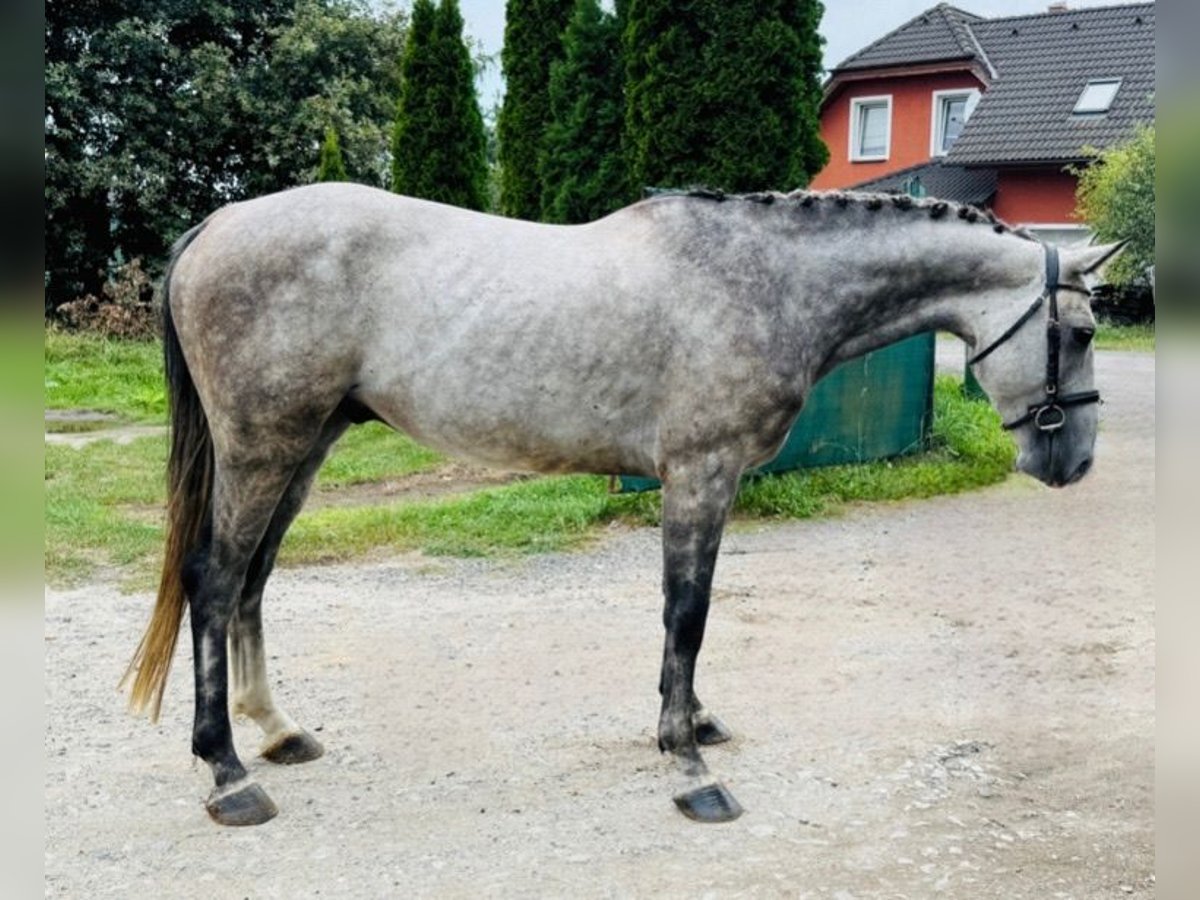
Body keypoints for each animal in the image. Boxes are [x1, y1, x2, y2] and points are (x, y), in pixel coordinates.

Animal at [121, 187, 1123, 830]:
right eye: (1077, 332)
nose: (1073, 461)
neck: (761, 281)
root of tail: (219, 222)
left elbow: (689, 619)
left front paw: (693, 725)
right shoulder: (699, 473)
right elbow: (688, 613)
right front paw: (689, 766)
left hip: (305, 446)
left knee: (253, 580)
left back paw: (277, 730)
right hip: (264, 447)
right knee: (215, 581)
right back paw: (227, 774)